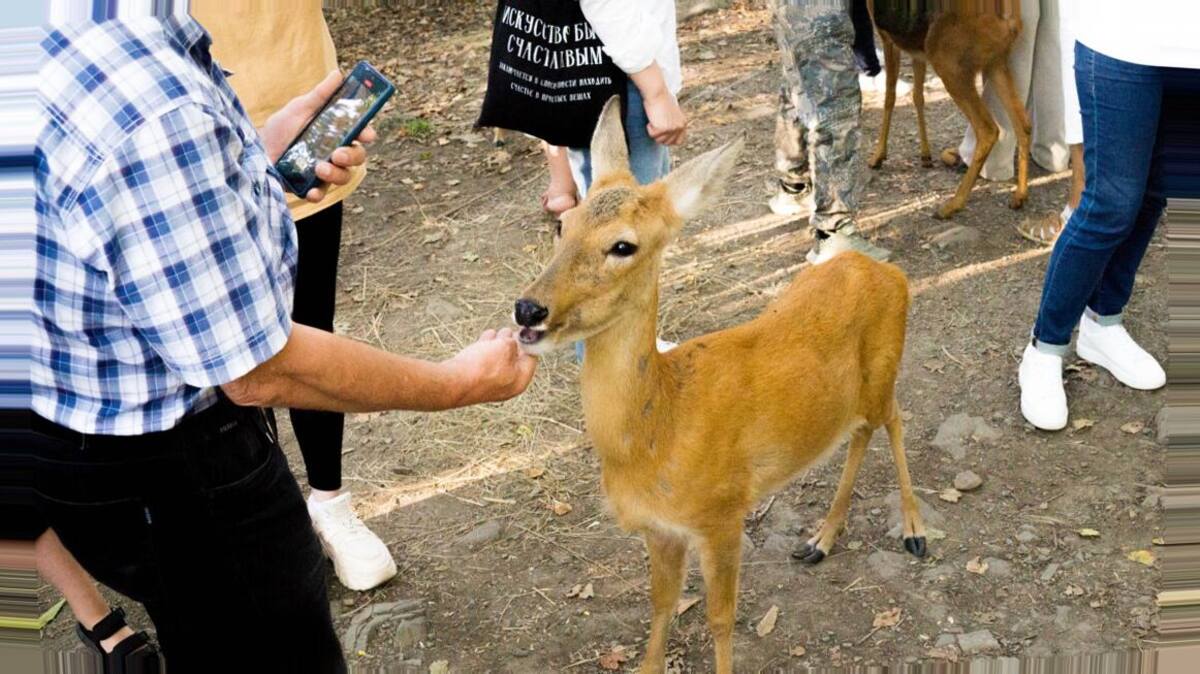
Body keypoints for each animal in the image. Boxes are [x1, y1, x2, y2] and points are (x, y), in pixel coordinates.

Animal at [513, 100, 926, 671]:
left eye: (623, 245)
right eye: (563, 222)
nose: (528, 309)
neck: (658, 431)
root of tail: (892, 274)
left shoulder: (723, 513)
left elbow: (721, 620)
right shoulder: (660, 530)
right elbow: (661, 606)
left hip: (886, 365)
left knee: (896, 419)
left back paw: (914, 532)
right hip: (854, 392)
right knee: (862, 429)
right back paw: (820, 539)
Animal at [864, 0, 1032, 219]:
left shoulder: (889, 38)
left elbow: (890, 96)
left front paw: (877, 157)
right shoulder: (916, 49)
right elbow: (918, 96)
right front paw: (925, 155)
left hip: (949, 61)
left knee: (988, 129)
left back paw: (953, 204)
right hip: (995, 61)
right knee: (1023, 123)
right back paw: (1020, 196)